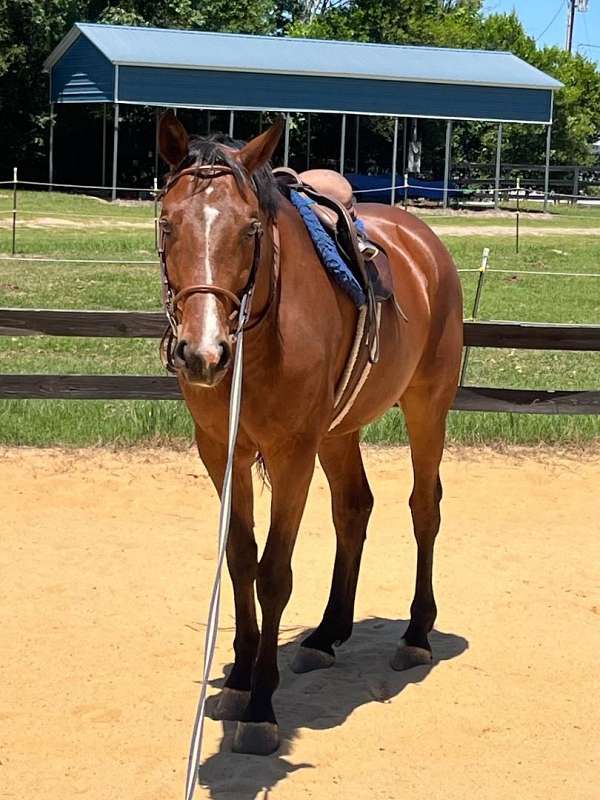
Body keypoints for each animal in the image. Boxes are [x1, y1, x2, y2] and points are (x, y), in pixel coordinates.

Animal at [157, 111, 463, 756]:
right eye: (168, 224)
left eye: (251, 229)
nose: (202, 353)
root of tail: (425, 242)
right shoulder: (221, 450)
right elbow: (239, 559)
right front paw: (240, 679)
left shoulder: (291, 452)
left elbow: (274, 573)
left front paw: (261, 707)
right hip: (338, 433)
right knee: (354, 507)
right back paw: (326, 634)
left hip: (427, 407)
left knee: (424, 507)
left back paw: (416, 633)